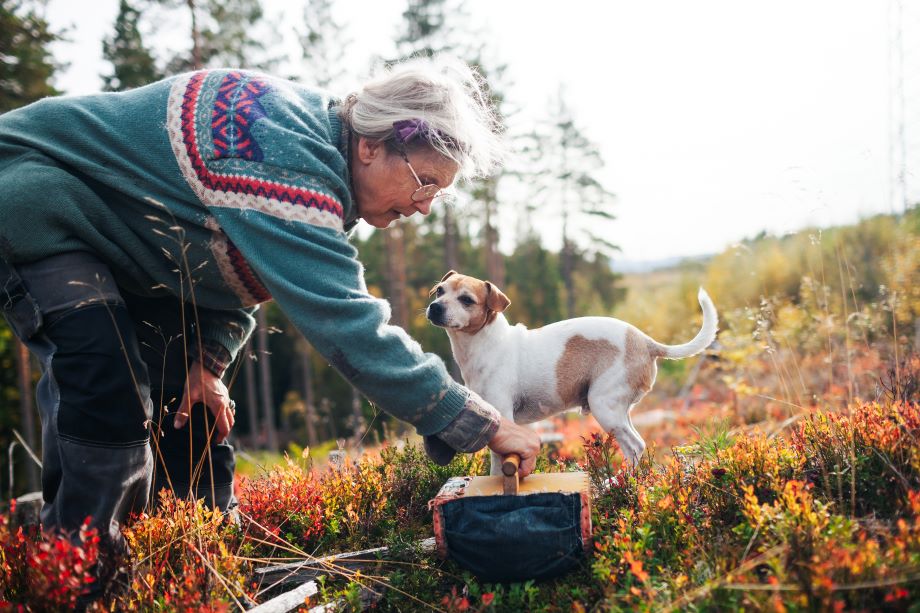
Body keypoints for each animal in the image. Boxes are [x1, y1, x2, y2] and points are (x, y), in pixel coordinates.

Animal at [426, 268, 720, 474]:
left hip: (603, 405)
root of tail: (645, 342)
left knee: (635, 447)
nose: (435, 307)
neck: (483, 343)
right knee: (637, 445)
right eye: (440, 291)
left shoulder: (504, 418)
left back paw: (618, 483)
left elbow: (498, 466)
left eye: (466, 300)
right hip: (618, 411)